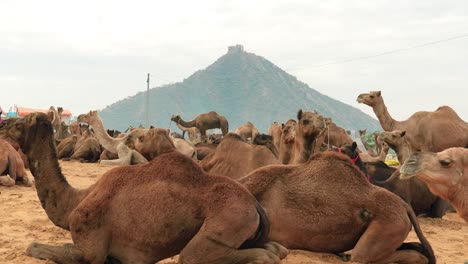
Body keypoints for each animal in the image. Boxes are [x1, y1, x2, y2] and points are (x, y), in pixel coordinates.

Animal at [7, 112, 288, 264]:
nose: (2, 125)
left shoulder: (90, 249)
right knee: (275, 250)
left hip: (225, 221)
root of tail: (254, 206)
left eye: (19, 123)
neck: (75, 201)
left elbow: (32, 246)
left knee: (196, 256)